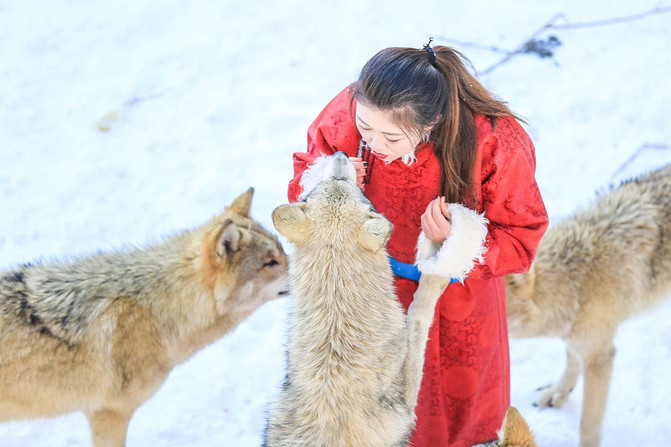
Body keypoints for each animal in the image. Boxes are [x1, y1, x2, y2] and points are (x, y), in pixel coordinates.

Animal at [506, 164, 671, 447]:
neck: (575, 281)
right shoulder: (575, 337)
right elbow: (571, 364)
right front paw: (557, 394)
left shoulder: (600, 356)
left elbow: (588, 424)